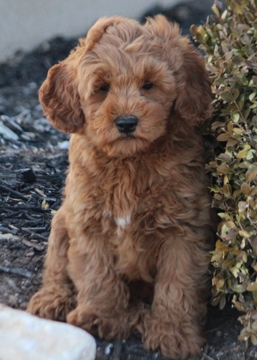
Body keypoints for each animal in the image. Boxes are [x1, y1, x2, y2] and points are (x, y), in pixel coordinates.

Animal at [27, 15, 213, 358]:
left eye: (148, 84)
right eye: (102, 88)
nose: (126, 122)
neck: (130, 161)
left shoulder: (184, 228)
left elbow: (178, 282)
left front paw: (174, 334)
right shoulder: (88, 221)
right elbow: (96, 273)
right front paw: (101, 318)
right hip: (61, 220)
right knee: (56, 265)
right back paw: (52, 300)